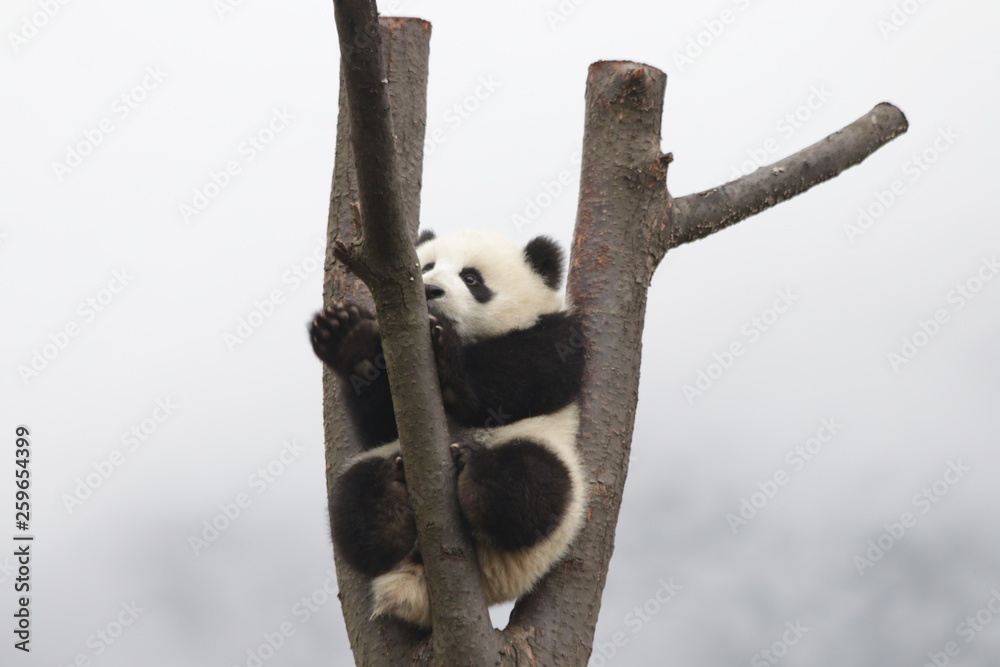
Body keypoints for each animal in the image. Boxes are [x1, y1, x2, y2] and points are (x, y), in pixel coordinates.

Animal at [309, 228, 586, 627]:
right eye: (425, 268)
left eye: (471, 278)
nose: (430, 292)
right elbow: (377, 423)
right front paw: (351, 343)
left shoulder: (559, 336)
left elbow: (522, 376)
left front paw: (447, 359)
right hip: (377, 471)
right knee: (353, 501)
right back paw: (388, 506)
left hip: (551, 474)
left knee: (533, 484)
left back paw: (477, 476)